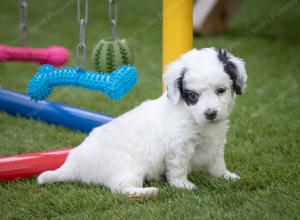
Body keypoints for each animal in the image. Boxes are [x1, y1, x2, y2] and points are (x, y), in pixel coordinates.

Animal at [37, 48, 247, 198]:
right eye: (193, 96)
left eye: (221, 90)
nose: (210, 113)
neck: (190, 114)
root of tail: (73, 164)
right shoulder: (179, 147)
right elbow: (178, 168)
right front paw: (183, 185)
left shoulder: (216, 142)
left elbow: (217, 162)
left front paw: (226, 176)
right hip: (128, 165)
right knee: (119, 188)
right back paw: (147, 192)